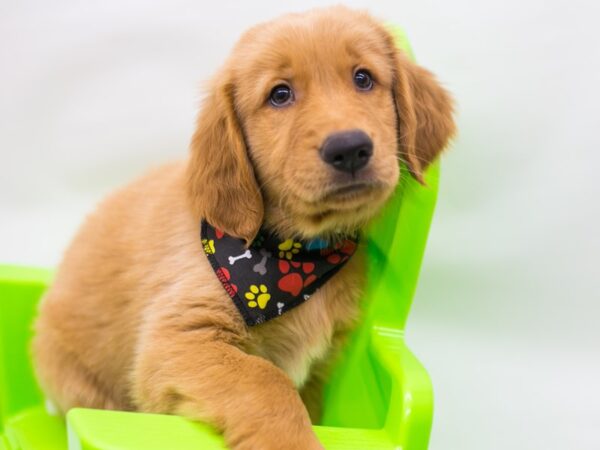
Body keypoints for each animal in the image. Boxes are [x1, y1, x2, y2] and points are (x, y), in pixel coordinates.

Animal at [31, 4, 454, 450]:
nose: (349, 148)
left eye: (363, 78)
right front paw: (292, 441)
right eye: (280, 95)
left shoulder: (320, 369)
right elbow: (263, 379)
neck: (295, 254)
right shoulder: (178, 338)